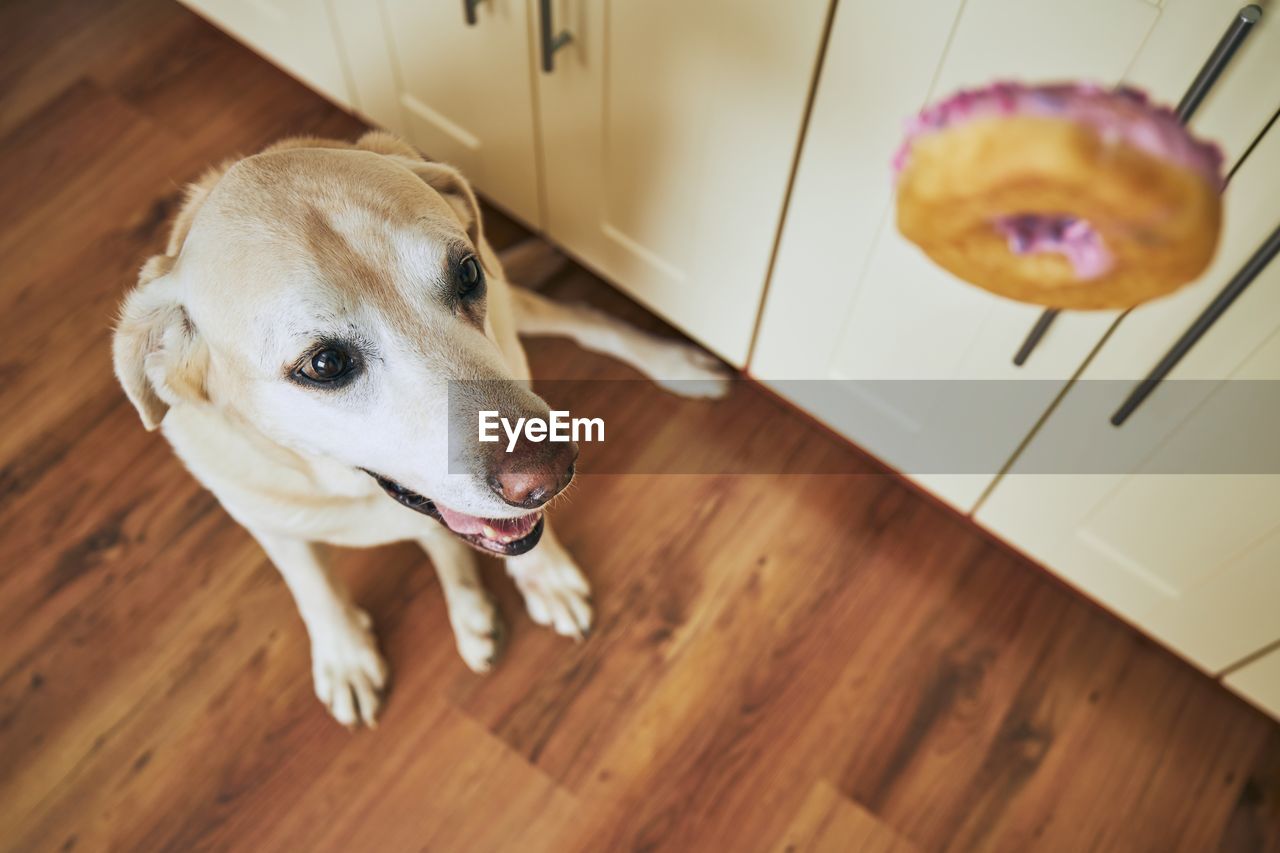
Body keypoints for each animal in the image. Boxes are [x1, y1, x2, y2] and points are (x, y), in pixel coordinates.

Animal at [112, 133, 732, 722]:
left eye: (467, 273)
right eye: (324, 364)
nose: (551, 474)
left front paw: (544, 571)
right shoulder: (266, 521)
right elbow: (312, 585)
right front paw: (345, 655)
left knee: (580, 318)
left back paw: (673, 363)